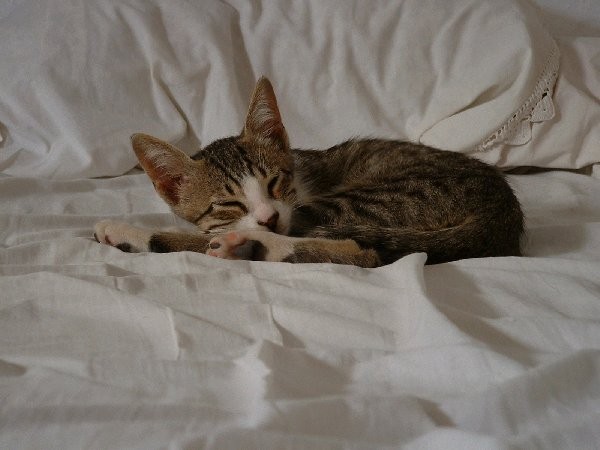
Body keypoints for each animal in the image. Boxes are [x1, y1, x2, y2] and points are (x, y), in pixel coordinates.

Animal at [94, 76, 524, 267]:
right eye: (228, 203)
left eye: (274, 181)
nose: (268, 216)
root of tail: (504, 210)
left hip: (373, 200)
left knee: (362, 251)